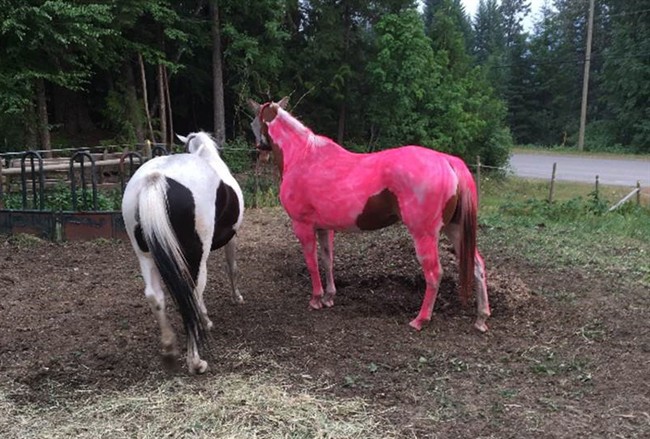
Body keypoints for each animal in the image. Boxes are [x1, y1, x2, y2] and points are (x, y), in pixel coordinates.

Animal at [121, 131, 244, 374]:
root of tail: (156, 178)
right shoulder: (231, 238)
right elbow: (232, 268)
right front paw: (235, 299)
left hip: (145, 256)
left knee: (155, 296)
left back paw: (169, 349)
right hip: (196, 255)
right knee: (192, 292)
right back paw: (196, 361)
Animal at [248, 98, 490, 332]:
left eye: (253, 122)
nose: (260, 151)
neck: (304, 156)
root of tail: (448, 161)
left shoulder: (303, 226)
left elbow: (312, 262)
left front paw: (316, 299)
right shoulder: (325, 227)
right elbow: (327, 260)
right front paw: (329, 297)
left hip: (425, 234)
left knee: (434, 274)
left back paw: (421, 320)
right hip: (454, 229)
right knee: (477, 265)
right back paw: (481, 318)